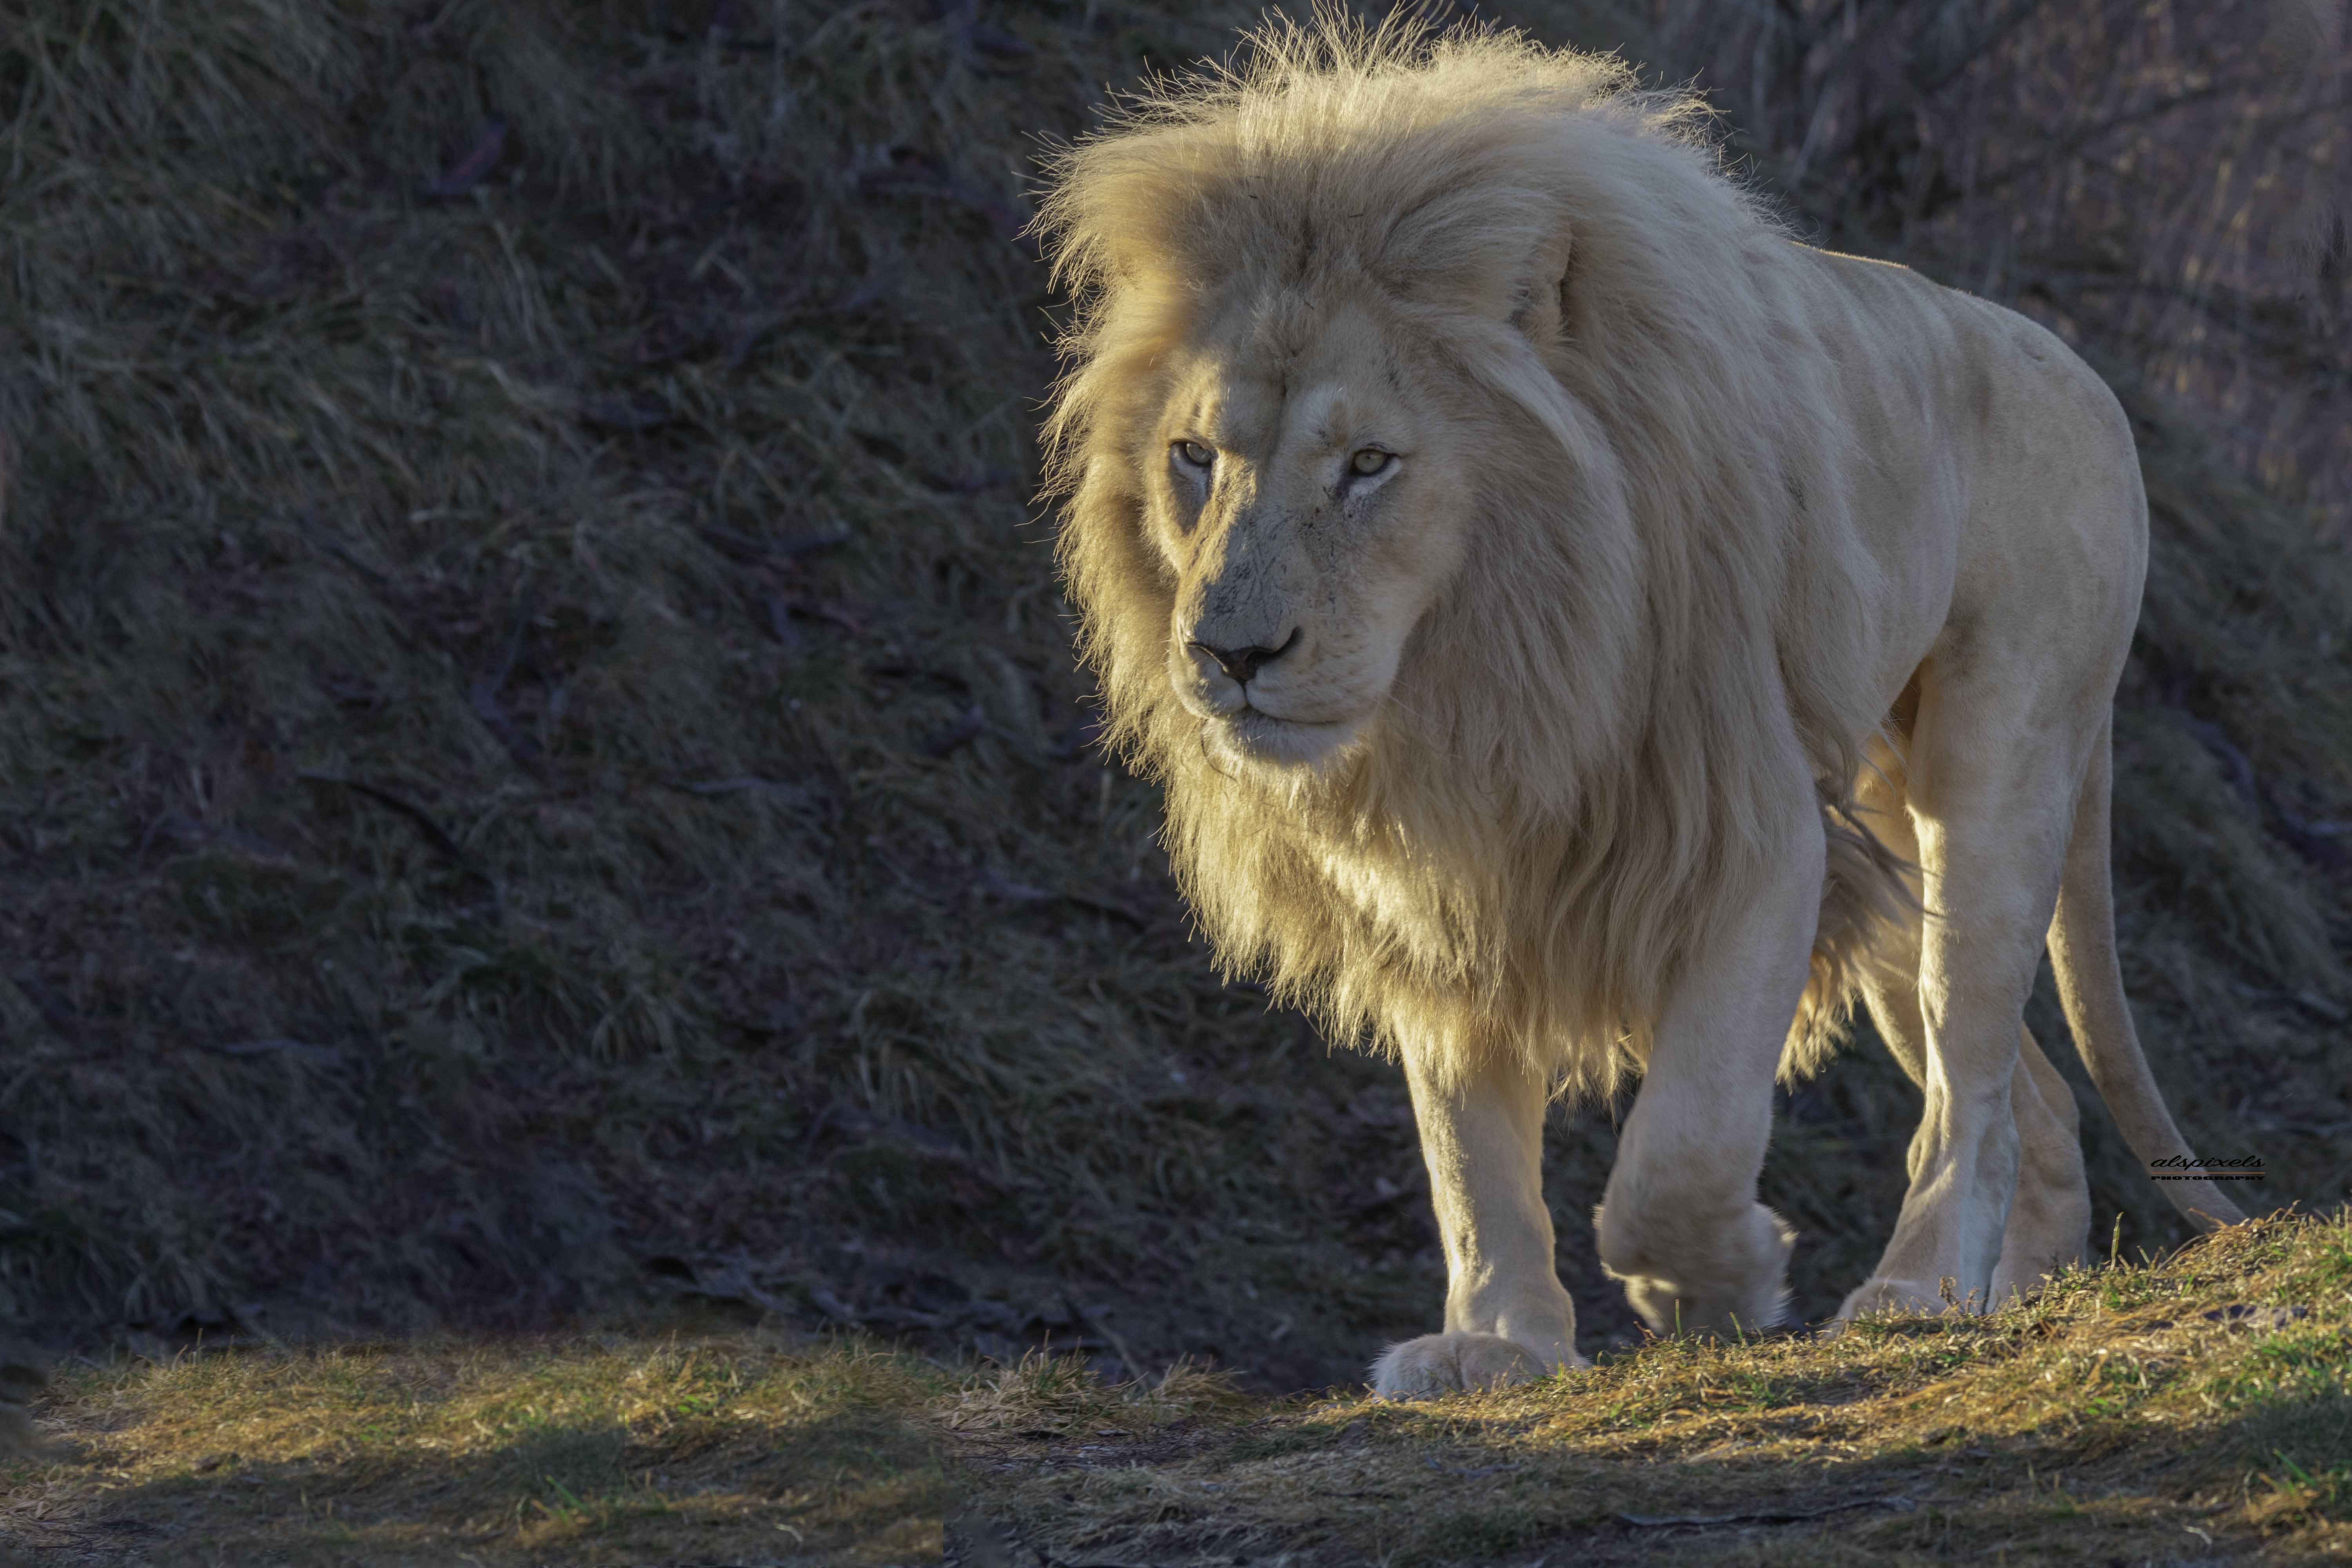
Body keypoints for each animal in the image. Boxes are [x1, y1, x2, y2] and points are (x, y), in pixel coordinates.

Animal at [1035, 15, 2239, 1401]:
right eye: (1196, 457)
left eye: (1368, 464)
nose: (1231, 653)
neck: (1484, 672)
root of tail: (2082, 372)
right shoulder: (1441, 875)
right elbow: (1467, 1149)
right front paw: (1497, 1343)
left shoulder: (1753, 833)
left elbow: (1682, 1142)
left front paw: (1715, 1280)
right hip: (1881, 831)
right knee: (2024, 1098)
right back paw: (2005, 1290)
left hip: (1997, 761)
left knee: (1972, 1067)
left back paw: (1913, 1288)